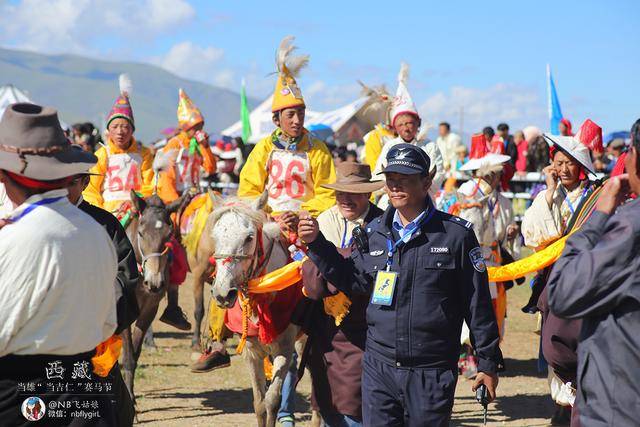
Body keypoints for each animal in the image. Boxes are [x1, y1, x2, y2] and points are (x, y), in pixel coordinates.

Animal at [120, 191, 186, 402]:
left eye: (169, 235)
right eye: (141, 233)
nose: (154, 282)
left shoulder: (150, 308)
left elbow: (134, 353)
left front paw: (130, 394)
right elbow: (128, 355)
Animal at [209, 193, 302, 427]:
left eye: (249, 238)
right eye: (215, 236)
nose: (223, 293)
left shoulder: (284, 349)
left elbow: (272, 401)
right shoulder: (252, 353)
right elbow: (259, 404)